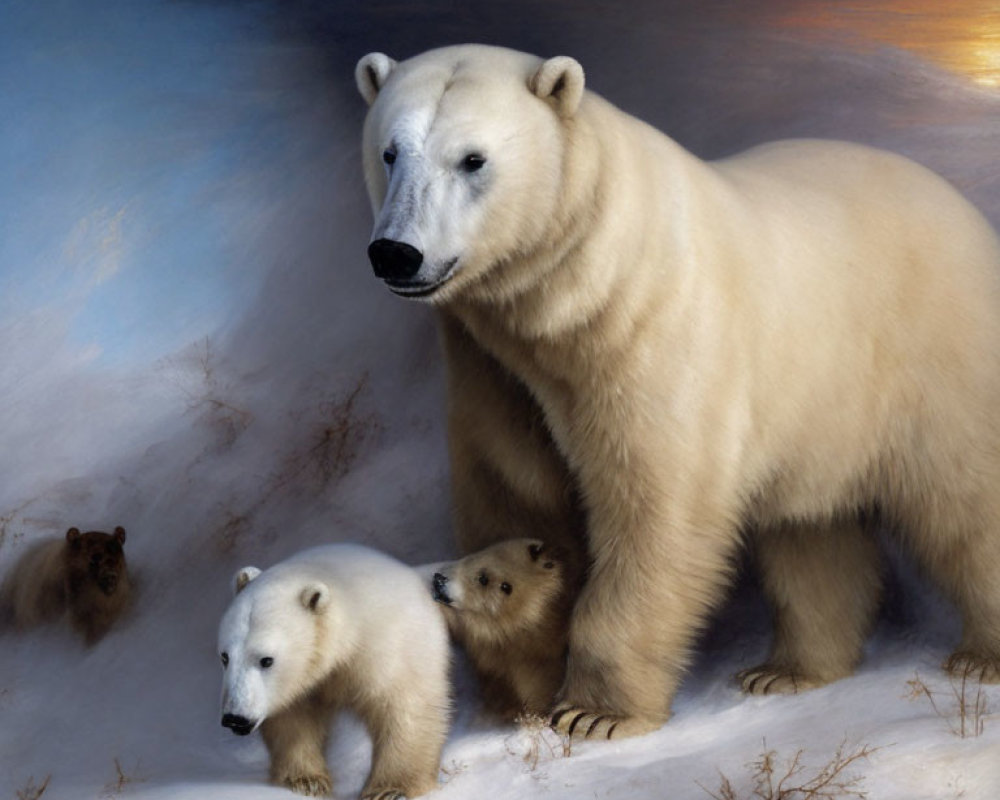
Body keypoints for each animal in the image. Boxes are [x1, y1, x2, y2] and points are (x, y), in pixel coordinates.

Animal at [354, 47, 1000, 740]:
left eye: (473, 159)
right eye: (390, 151)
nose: (395, 253)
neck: (579, 284)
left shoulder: (647, 340)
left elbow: (656, 508)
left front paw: (593, 712)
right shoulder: (493, 368)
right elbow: (517, 495)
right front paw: (515, 695)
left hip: (934, 361)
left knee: (963, 499)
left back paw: (978, 657)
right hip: (820, 408)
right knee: (809, 531)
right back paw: (788, 671)